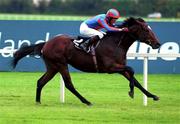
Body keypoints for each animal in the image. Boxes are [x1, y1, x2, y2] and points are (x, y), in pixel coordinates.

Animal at [13, 17, 161, 105]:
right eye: (146, 29)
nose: (158, 44)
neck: (116, 44)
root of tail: (46, 43)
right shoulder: (110, 68)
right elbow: (132, 70)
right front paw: (131, 92)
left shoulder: (120, 67)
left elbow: (136, 81)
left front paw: (153, 95)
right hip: (60, 64)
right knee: (68, 84)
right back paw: (86, 101)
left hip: (52, 67)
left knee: (41, 81)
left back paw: (38, 101)